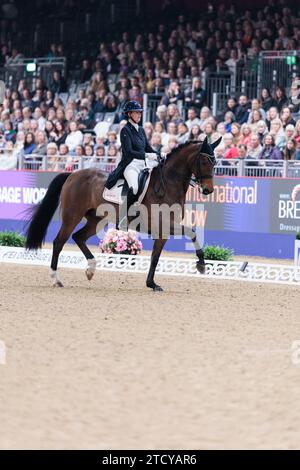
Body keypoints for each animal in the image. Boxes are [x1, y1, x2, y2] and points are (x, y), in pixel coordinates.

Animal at [25, 136, 220, 290]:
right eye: (204, 162)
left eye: (215, 162)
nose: (208, 190)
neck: (169, 183)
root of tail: (72, 174)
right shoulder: (163, 225)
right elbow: (188, 235)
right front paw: (201, 265)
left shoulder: (163, 230)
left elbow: (157, 255)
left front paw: (152, 283)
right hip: (72, 216)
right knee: (59, 242)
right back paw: (56, 279)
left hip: (96, 220)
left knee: (78, 237)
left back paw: (90, 270)